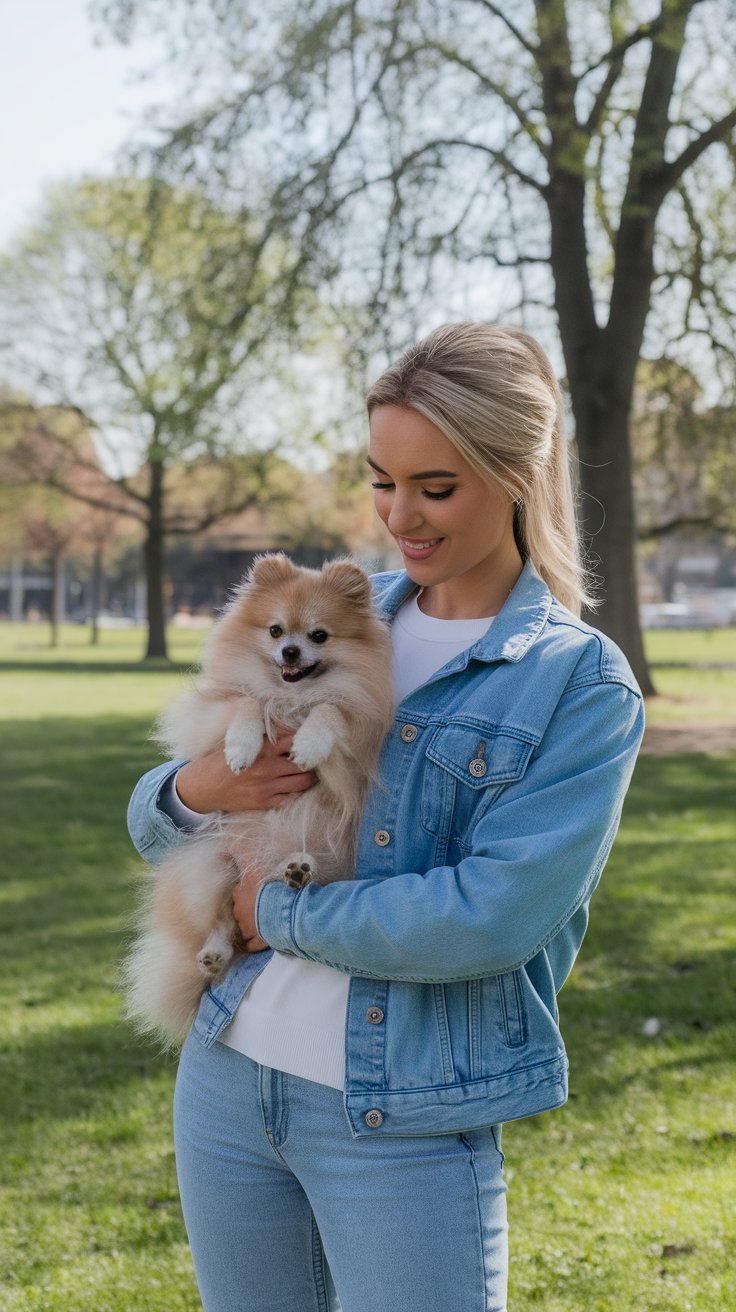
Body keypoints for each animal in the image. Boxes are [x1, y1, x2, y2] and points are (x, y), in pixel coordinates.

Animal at [123, 553, 393, 1044]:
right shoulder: (211, 713)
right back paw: (213, 953)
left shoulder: (358, 743)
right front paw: (242, 748)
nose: (290, 652)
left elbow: (331, 710)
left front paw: (309, 743)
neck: (292, 697)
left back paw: (297, 872)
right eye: (274, 631)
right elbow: (246, 703)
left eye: (318, 635)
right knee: (222, 922)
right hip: (212, 864)